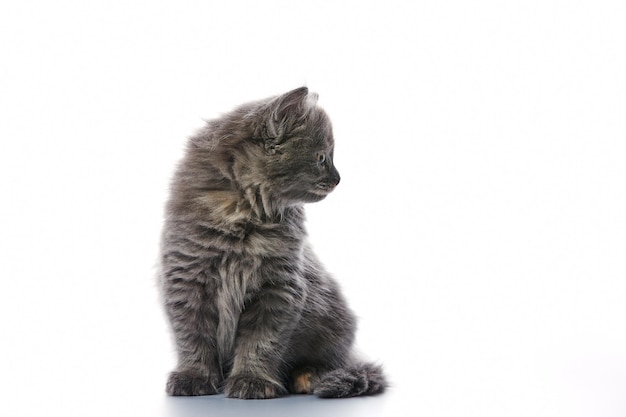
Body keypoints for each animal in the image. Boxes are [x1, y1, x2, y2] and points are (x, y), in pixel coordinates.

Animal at [157, 86, 386, 398]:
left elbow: (262, 342)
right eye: (321, 158)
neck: (242, 213)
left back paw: (307, 377)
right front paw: (194, 377)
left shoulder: (278, 288)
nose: (338, 178)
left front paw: (252, 380)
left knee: (333, 362)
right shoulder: (186, 281)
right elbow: (193, 339)